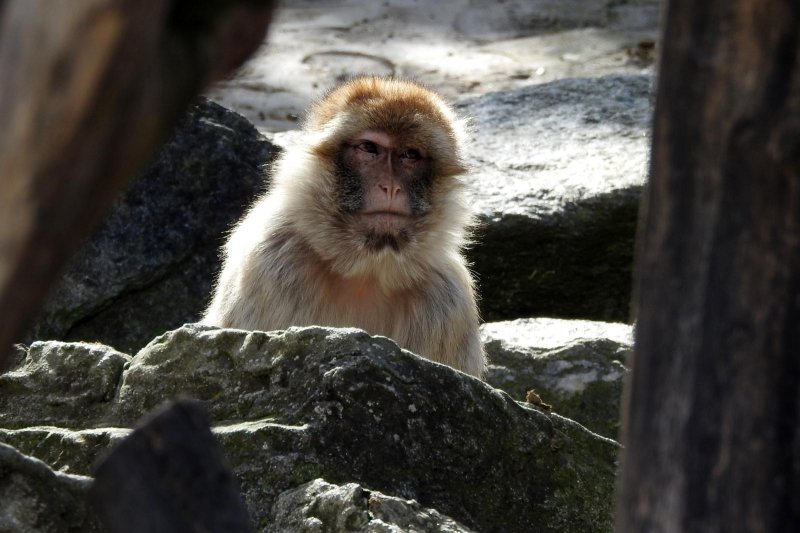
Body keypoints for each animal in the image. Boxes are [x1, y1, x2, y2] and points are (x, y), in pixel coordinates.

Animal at [203, 76, 484, 378]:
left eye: (410, 154)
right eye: (370, 148)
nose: (391, 187)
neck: (365, 268)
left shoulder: (447, 301)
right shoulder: (271, 262)